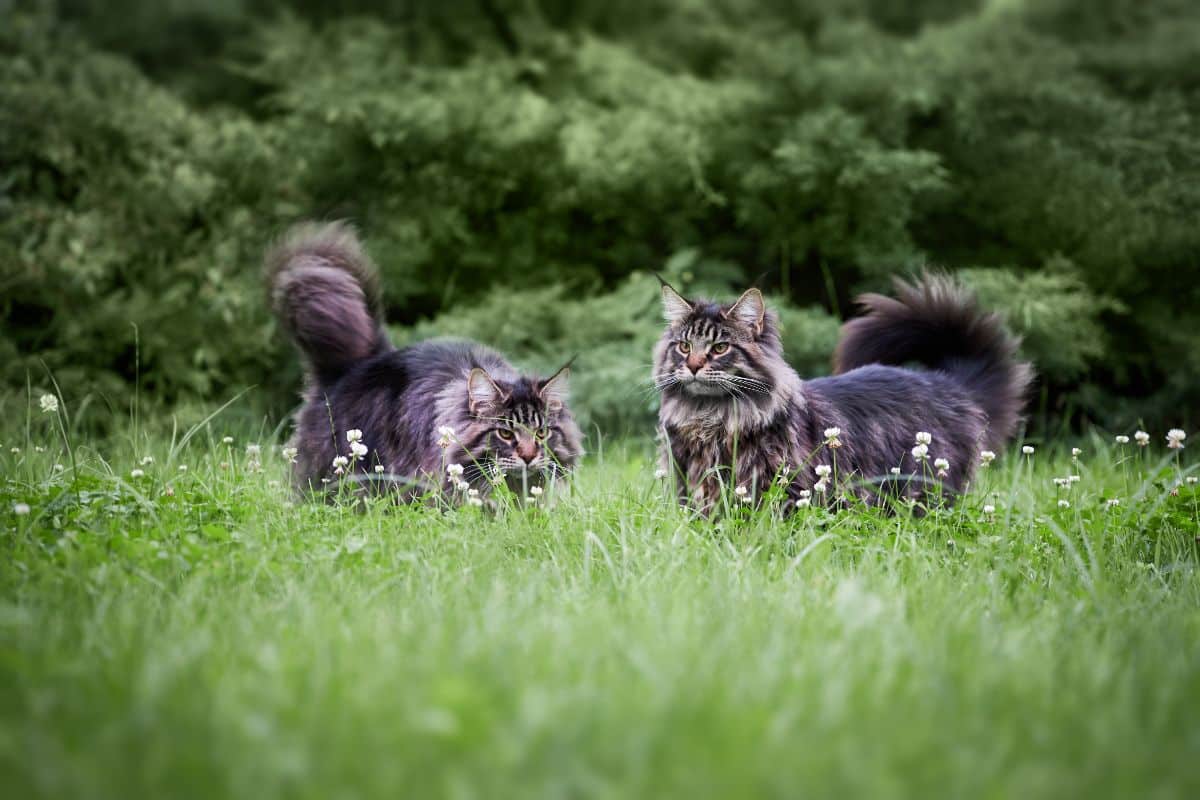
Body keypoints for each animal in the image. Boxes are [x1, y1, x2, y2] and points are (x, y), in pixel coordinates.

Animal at [652, 275, 1036, 513]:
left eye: (719, 348)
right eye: (684, 346)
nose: (694, 365)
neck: (711, 420)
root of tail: (946, 383)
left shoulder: (787, 490)